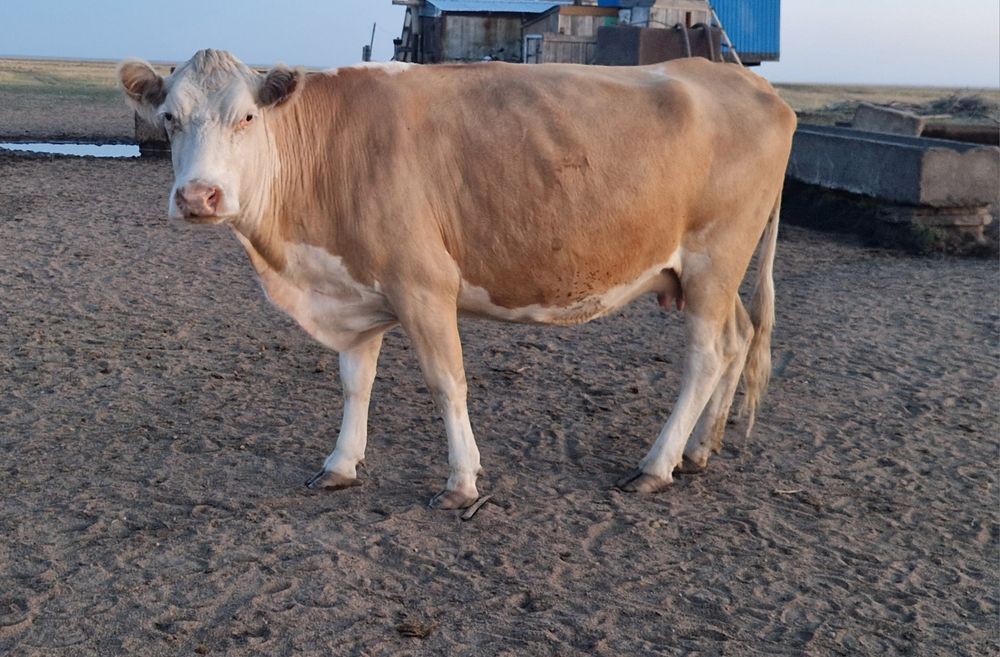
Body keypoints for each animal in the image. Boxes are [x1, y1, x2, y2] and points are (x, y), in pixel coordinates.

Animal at [118, 49, 796, 510]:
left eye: (247, 117)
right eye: (169, 117)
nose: (199, 196)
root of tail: (749, 82)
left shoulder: (423, 285)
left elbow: (447, 384)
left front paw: (463, 481)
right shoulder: (357, 288)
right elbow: (354, 382)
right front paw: (340, 463)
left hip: (714, 260)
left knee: (706, 356)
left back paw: (658, 464)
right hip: (712, 274)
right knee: (738, 339)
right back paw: (701, 450)